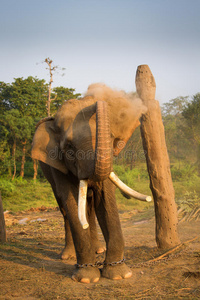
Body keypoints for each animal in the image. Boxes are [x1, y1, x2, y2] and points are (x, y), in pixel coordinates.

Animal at [31, 84, 151, 284]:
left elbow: (105, 201)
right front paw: (86, 278)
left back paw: (98, 249)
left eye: (111, 139)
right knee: (66, 209)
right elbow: (71, 202)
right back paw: (67, 255)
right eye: (69, 150)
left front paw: (119, 275)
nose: (96, 93)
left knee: (90, 207)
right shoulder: (57, 164)